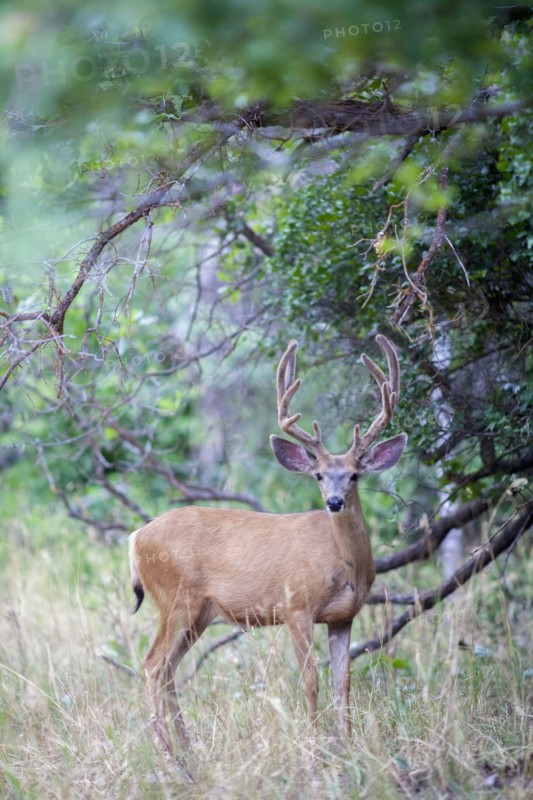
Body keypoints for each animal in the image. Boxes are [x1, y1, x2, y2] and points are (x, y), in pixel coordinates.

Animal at [129, 334, 407, 752]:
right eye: (319, 475)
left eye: (355, 475)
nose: (334, 502)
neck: (342, 564)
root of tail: (135, 538)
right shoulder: (296, 606)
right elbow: (310, 679)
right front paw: (314, 745)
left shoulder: (344, 616)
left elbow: (343, 681)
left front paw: (348, 744)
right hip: (176, 597)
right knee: (152, 663)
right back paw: (169, 752)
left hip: (200, 612)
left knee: (168, 669)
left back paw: (187, 748)